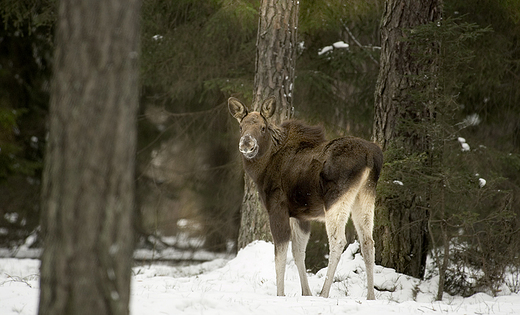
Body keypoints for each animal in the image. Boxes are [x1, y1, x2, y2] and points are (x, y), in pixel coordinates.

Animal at [230, 97, 384, 302]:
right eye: (241, 126)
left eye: (263, 128)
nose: (247, 144)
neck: (261, 170)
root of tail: (371, 156)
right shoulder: (300, 215)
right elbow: (298, 252)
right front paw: (306, 292)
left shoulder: (277, 208)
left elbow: (280, 254)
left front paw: (281, 294)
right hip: (365, 195)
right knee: (368, 241)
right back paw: (370, 296)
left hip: (336, 198)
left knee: (338, 241)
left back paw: (325, 293)